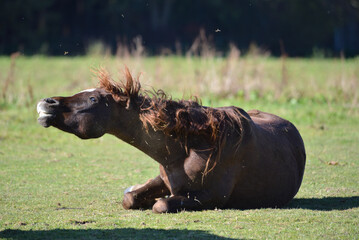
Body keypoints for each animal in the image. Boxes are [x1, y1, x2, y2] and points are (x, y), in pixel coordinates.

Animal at [36, 66, 306, 213]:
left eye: (93, 99)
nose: (46, 103)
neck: (192, 147)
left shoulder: (212, 196)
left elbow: (161, 205)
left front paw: (156, 201)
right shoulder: (165, 180)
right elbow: (130, 198)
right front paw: (138, 194)